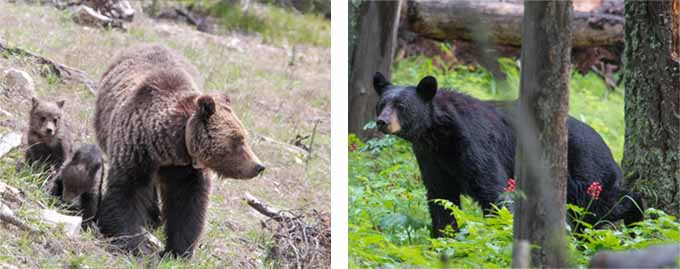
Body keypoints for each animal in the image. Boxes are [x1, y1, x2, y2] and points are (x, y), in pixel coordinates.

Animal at [95, 44, 266, 258]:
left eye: (244, 137)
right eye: (239, 140)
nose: (259, 166)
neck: (167, 148)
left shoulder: (188, 170)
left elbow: (187, 205)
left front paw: (178, 251)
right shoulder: (136, 151)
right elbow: (126, 192)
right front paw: (131, 243)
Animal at [372, 72, 644, 236]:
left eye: (401, 106)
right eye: (382, 104)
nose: (382, 122)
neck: (438, 133)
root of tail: (605, 144)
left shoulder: (475, 143)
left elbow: (493, 189)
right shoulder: (431, 158)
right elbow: (441, 197)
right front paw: (444, 237)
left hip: (585, 169)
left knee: (602, 205)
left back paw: (637, 218)